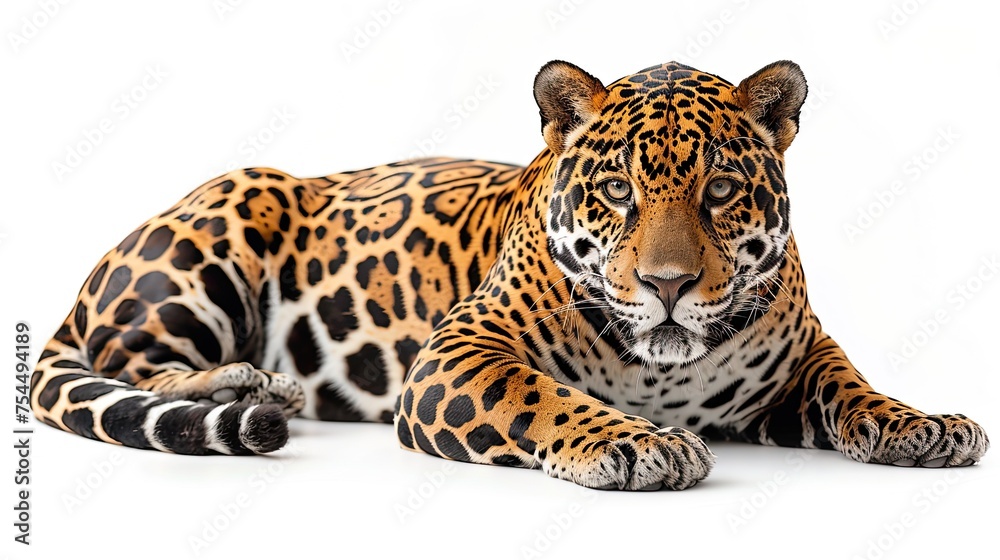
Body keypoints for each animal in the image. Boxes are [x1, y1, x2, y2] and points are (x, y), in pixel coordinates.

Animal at [31, 59, 989, 490]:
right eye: (617, 190)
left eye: (719, 190)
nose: (668, 285)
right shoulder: (458, 356)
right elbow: (542, 397)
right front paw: (637, 443)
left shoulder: (799, 360)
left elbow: (852, 386)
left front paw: (923, 424)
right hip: (230, 209)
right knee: (132, 362)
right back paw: (255, 386)